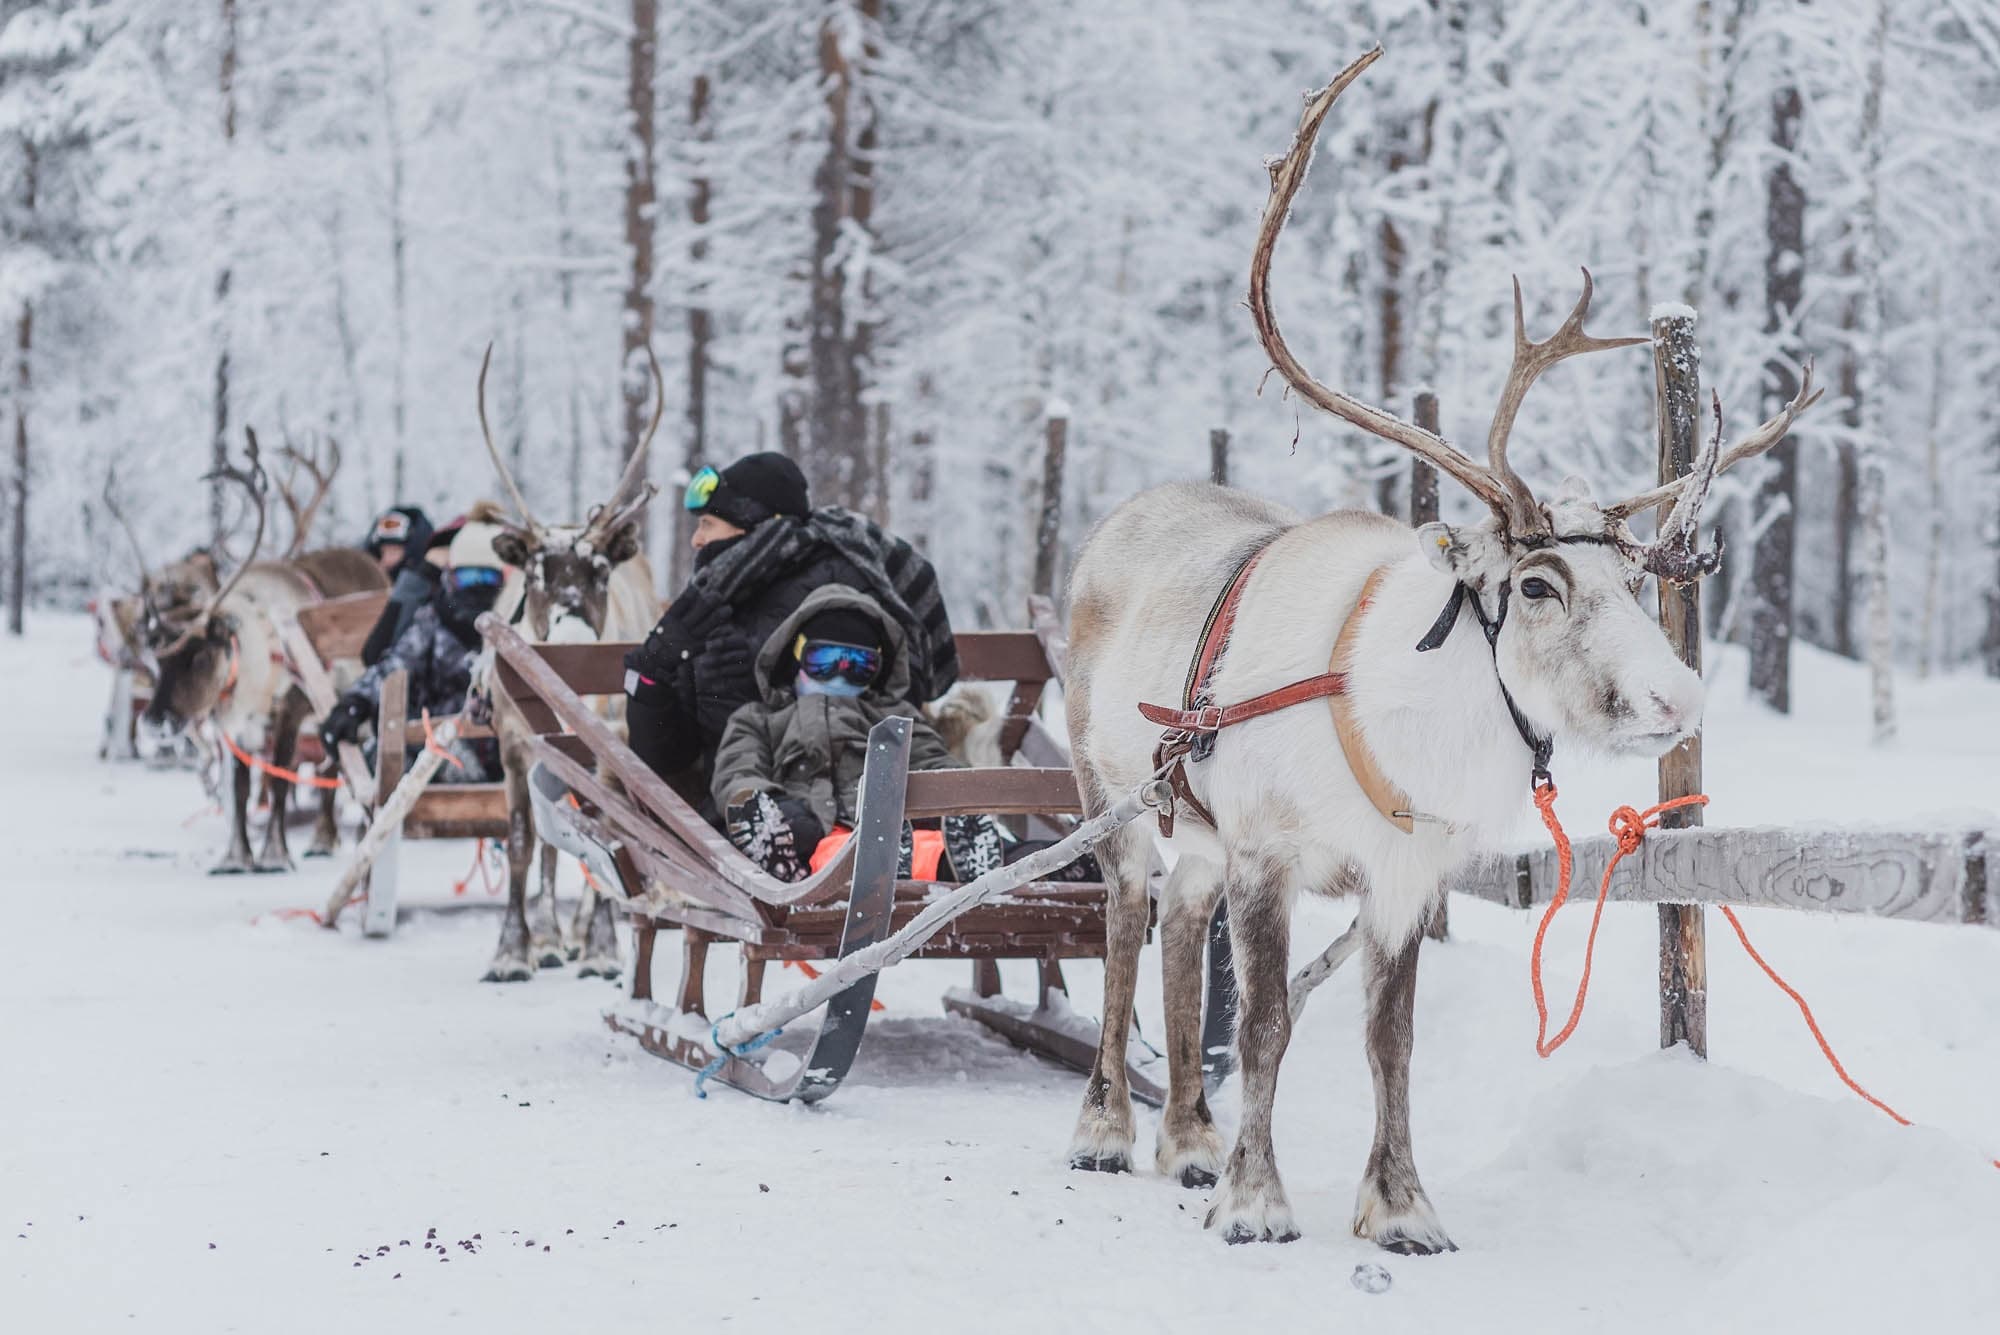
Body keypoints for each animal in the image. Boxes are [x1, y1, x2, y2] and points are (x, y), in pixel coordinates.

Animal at [140, 430, 388, 872]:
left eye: (199, 656)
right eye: (158, 658)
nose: (154, 722)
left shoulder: (290, 709)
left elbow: (277, 779)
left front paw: (275, 855)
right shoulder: (235, 728)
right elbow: (239, 788)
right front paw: (236, 858)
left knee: (345, 766)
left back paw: (342, 836)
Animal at [474, 345, 662, 983]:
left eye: (600, 571)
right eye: (535, 572)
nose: (573, 636)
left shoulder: (616, 739)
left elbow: (606, 833)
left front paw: (601, 947)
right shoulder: (512, 744)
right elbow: (522, 842)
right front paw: (514, 950)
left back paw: (579, 935)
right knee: (552, 841)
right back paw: (554, 938)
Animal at [1059, 48, 1819, 1251]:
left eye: (1638, 582)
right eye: (1538, 584)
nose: (1675, 697)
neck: (1398, 722)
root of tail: (1112, 524)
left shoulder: (1405, 874)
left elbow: (1389, 1040)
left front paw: (1402, 1208)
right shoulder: (1267, 851)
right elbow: (1267, 1023)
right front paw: (1257, 1202)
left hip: (1195, 827)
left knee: (1179, 931)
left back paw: (1186, 1140)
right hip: (1113, 793)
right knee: (1126, 920)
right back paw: (1103, 1131)